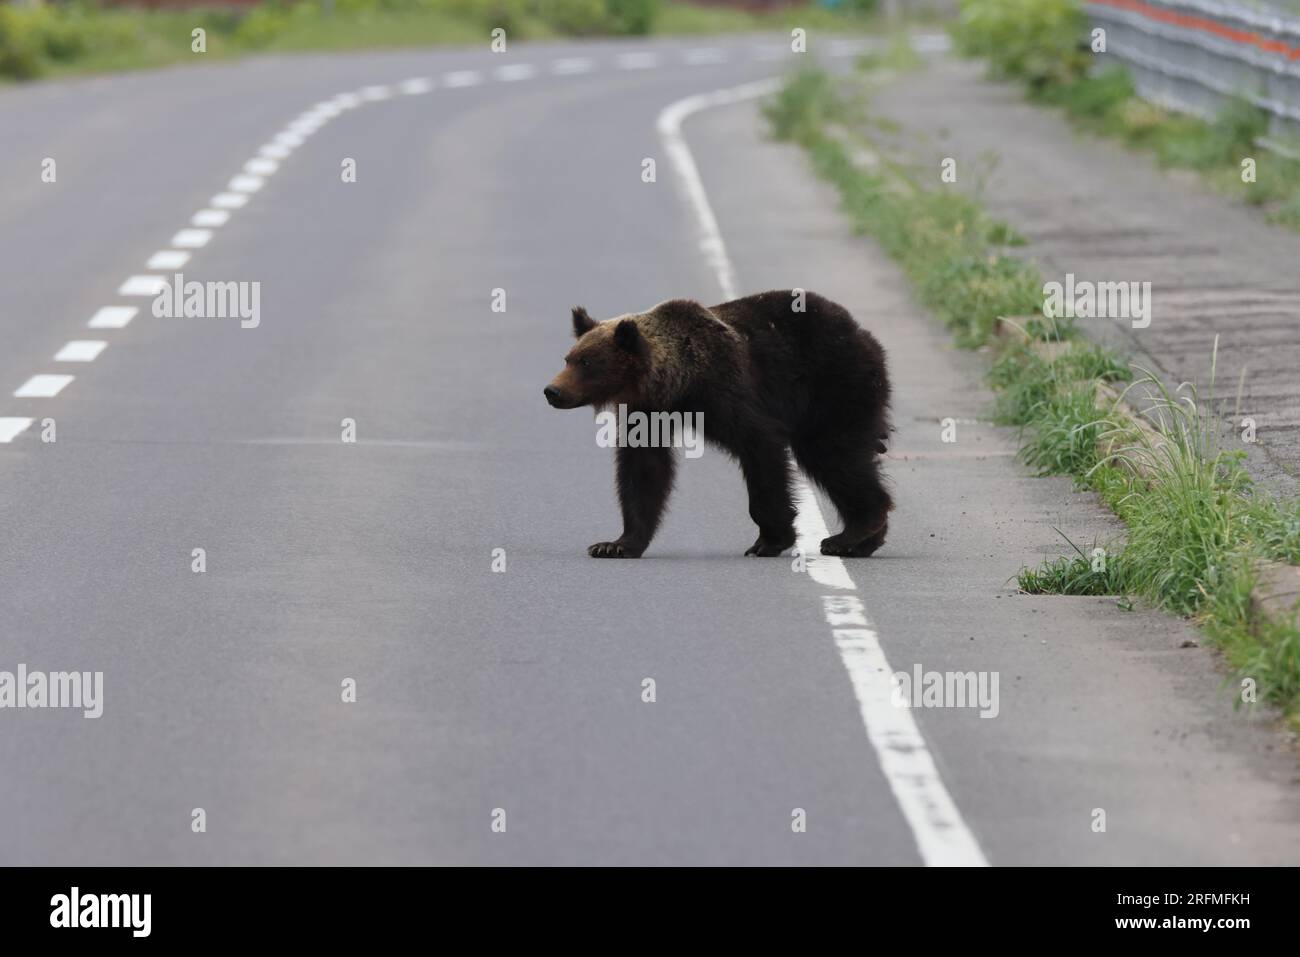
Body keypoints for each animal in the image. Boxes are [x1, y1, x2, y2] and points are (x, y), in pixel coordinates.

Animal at [543, 290, 892, 559]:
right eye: (568, 358)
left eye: (587, 362)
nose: (552, 391)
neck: (678, 385)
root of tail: (865, 335)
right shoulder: (645, 413)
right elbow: (643, 471)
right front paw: (615, 544)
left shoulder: (725, 391)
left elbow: (760, 447)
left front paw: (769, 539)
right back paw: (862, 542)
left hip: (834, 385)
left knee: (832, 454)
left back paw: (849, 534)